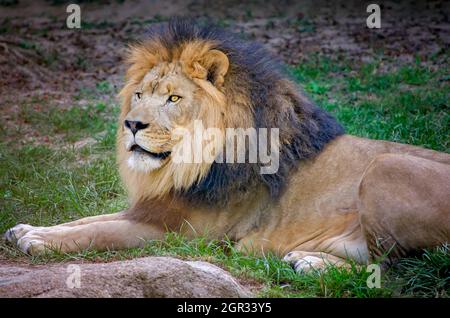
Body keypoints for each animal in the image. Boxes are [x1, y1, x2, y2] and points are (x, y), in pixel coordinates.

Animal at [4, 19, 450, 272]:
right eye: (140, 95)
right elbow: (88, 219)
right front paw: (26, 229)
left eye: (174, 98)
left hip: (387, 166)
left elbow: (102, 231)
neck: (182, 166)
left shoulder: (183, 233)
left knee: (393, 269)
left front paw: (39, 242)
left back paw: (313, 263)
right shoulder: (155, 207)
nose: (132, 124)